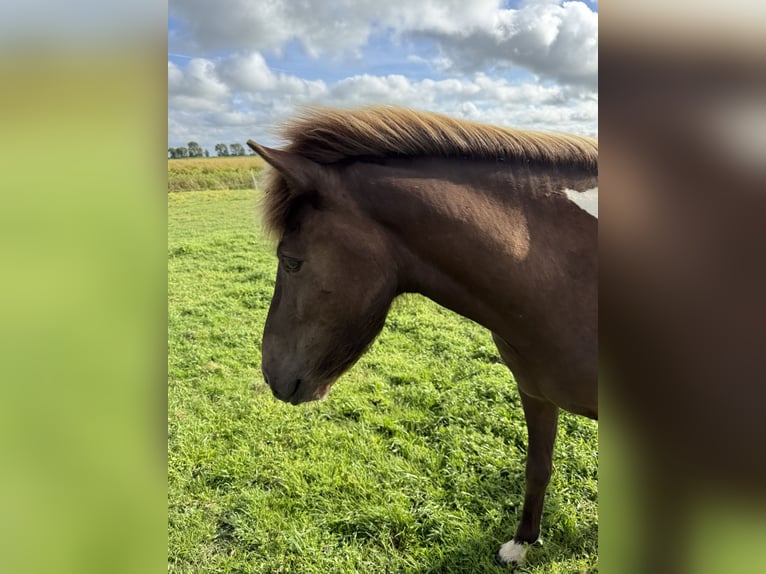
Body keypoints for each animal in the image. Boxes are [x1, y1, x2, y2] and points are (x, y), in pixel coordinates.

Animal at [247, 106, 598, 566]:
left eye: (290, 261)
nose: (271, 373)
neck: (566, 273)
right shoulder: (535, 393)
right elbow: (538, 466)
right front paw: (522, 543)